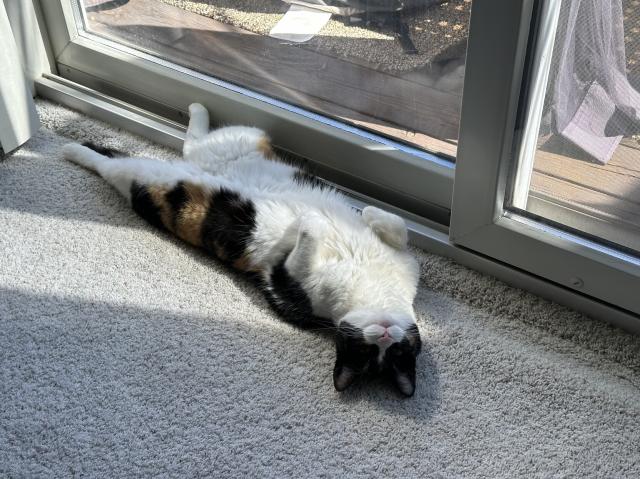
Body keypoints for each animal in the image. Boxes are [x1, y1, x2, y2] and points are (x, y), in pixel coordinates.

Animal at [62, 102, 422, 398]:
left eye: (391, 354)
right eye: (367, 350)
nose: (385, 333)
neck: (369, 288)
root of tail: (201, 170)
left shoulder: (284, 281)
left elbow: (310, 232)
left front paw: (310, 219)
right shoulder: (401, 261)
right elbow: (399, 229)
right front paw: (368, 215)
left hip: (148, 180)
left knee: (115, 163)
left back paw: (72, 150)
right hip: (243, 139)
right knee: (188, 144)